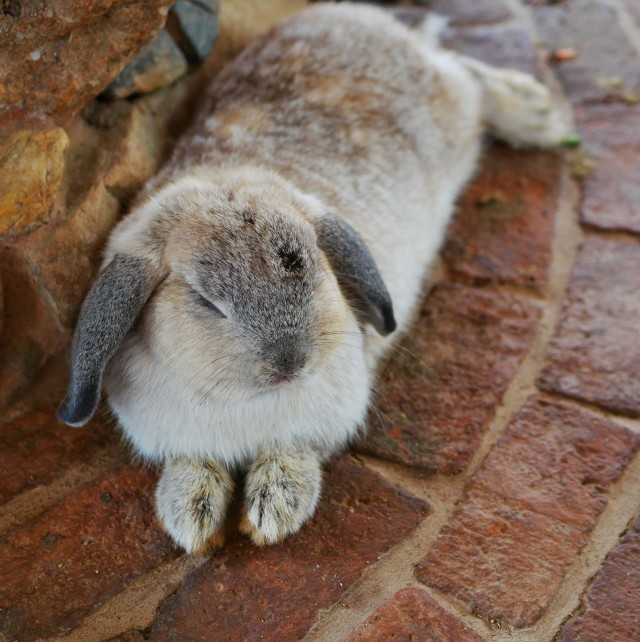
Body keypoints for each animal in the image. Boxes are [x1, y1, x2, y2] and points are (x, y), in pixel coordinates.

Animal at [55, 2, 564, 552]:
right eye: (206, 300)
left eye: (308, 264)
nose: (290, 362)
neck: (242, 400)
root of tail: (356, 18)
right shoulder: (181, 439)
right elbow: (193, 464)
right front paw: (191, 520)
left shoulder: (317, 425)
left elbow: (293, 455)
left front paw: (273, 511)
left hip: (452, 108)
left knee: (466, 74)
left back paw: (538, 114)